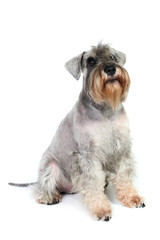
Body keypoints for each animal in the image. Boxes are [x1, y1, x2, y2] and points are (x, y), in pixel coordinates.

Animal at [9, 43, 146, 221]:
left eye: (112, 57)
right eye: (91, 61)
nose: (110, 69)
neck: (105, 109)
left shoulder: (122, 148)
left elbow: (124, 177)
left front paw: (132, 198)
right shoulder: (88, 155)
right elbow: (93, 183)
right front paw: (101, 209)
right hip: (50, 167)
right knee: (41, 188)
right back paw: (50, 197)